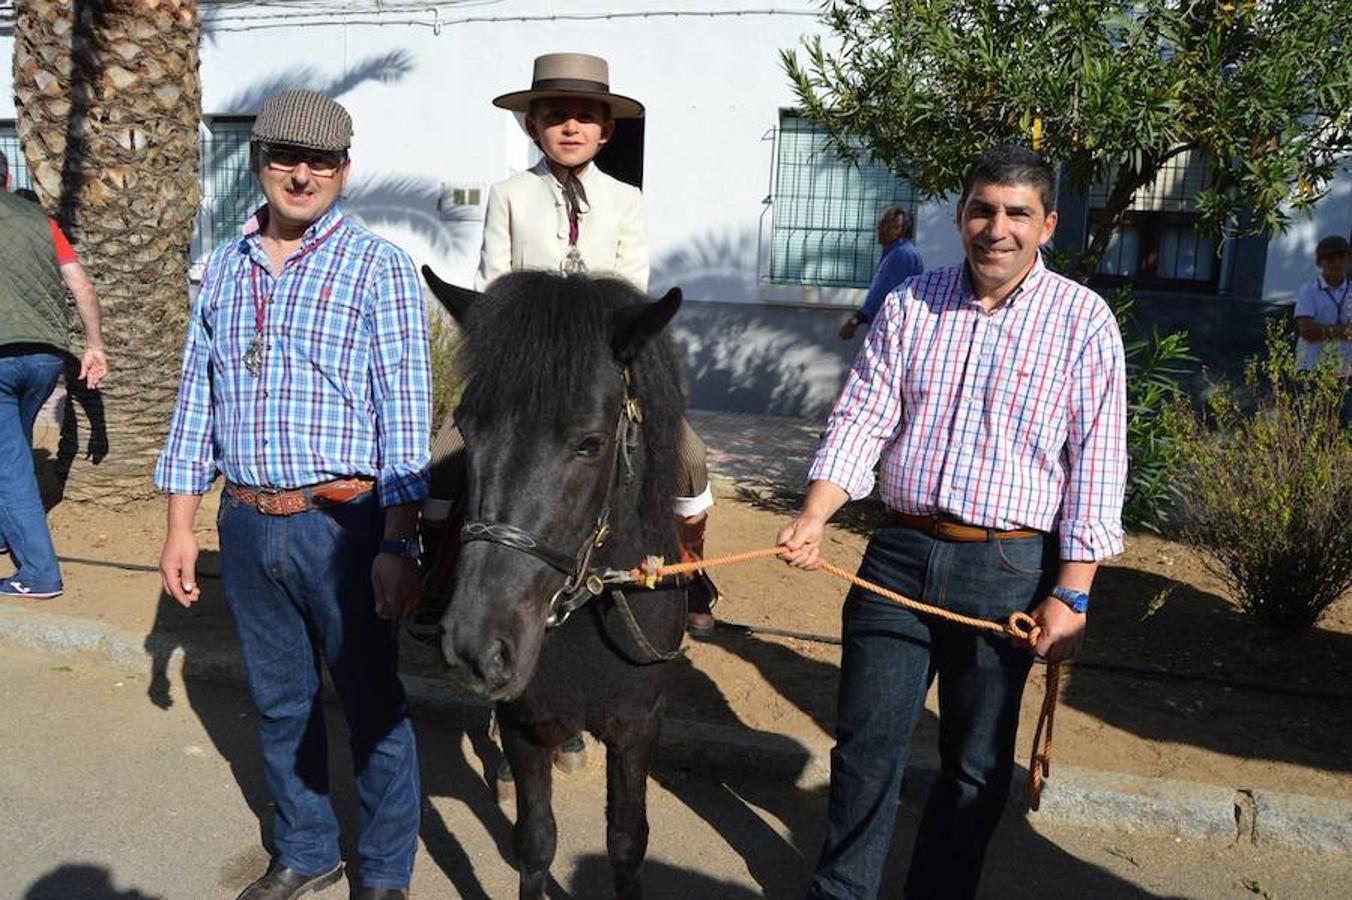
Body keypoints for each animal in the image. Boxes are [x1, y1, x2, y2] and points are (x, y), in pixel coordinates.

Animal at [421, 267, 692, 897]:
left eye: (590, 443)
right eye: (467, 429)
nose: (477, 647)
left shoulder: (639, 726)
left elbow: (626, 842)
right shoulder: (526, 723)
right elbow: (535, 842)